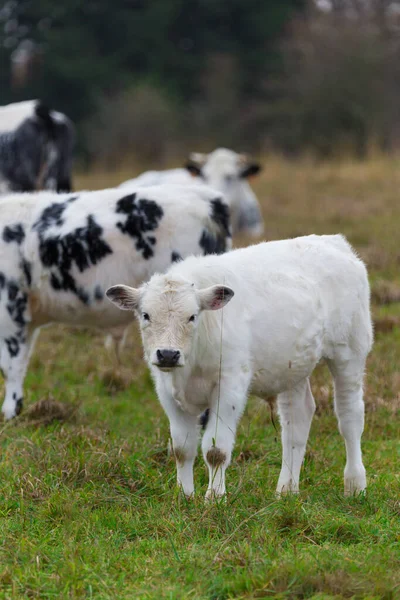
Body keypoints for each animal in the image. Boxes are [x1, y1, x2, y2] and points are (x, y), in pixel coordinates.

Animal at [108, 234, 374, 502]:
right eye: (146, 315)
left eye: (192, 316)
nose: (168, 354)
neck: (190, 366)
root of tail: (333, 241)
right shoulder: (167, 391)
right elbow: (182, 449)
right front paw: (184, 495)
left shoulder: (230, 386)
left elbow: (215, 450)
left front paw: (215, 498)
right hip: (293, 366)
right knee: (297, 420)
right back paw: (286, 490)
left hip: (349, 352)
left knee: (350, 417)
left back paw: (355, 485)